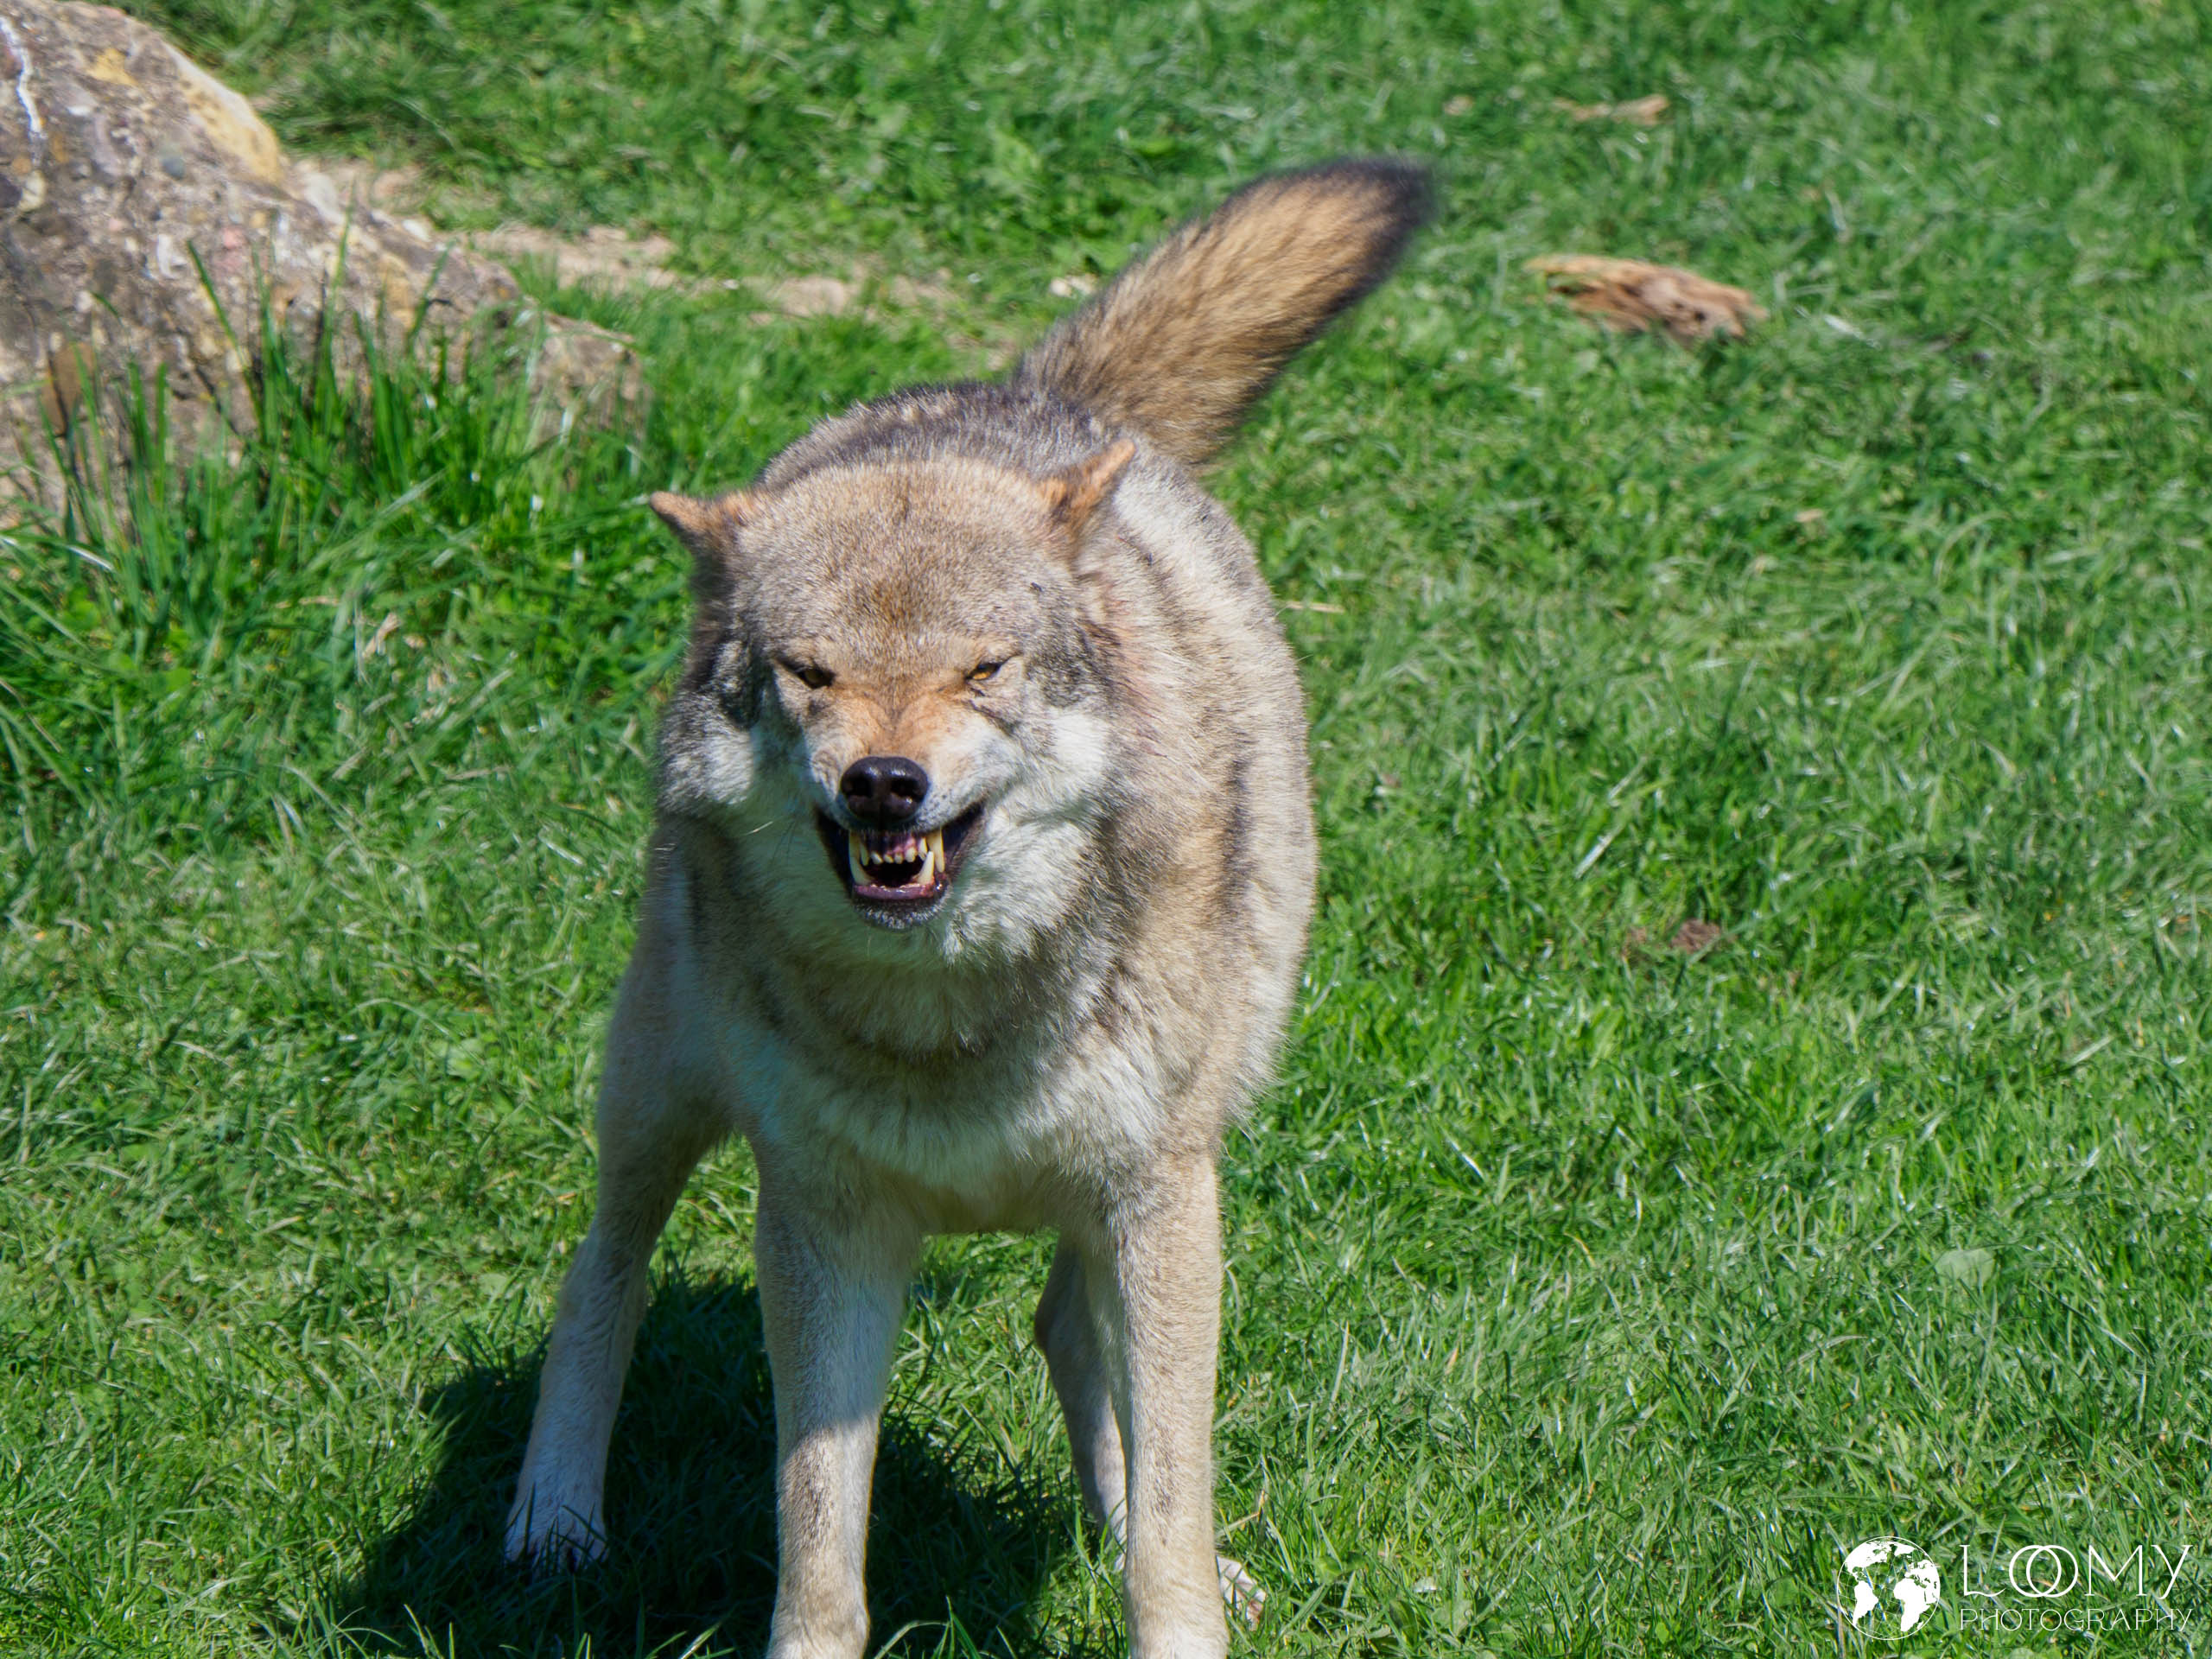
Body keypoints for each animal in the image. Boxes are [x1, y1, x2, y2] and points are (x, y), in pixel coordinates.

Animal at [505, 157, 1431, 1659]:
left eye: (984, 669)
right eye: (809, 672)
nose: (885, 783)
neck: (947, 1017)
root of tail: (1027, 393)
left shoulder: (1158, 1197)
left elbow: (1172, 1508)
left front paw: (1173, 1587)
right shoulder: (822, 1229)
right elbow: (818, 1535)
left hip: (1174, 1152)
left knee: (1069, 1336)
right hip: (662, 1093)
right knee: (602, 1272)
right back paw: (552, 1528)